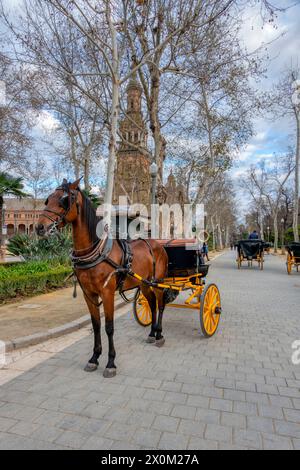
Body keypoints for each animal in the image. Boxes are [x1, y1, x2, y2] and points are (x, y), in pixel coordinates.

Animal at [37, 179, 169, 378]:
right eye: (47, 200)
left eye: (64, 200)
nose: (40, 227)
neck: (96, 252)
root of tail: (156, 243)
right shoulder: (89, 294)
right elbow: (96, 325)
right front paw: (94, 358)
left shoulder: (107, 293)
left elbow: (109, 327)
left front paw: (111, 362)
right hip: (144, 284)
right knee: (152, 304)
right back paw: (152, 334)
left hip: (157, 282)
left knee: (160, 304)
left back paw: (159, 334)